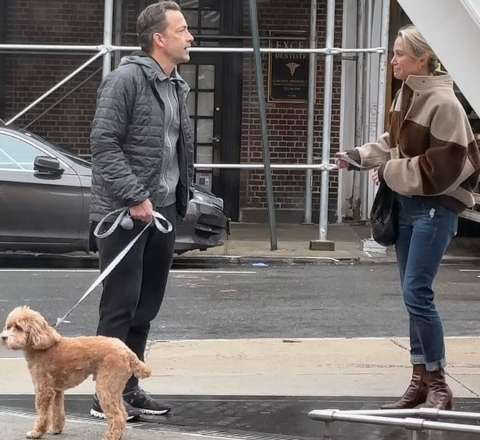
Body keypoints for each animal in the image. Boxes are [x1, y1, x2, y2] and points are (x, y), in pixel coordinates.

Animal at [0, 306, 151, 440]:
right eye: (8, 326)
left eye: (19, 327)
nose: (3, 337)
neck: (41, 345)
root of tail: (128, 352)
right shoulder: (57, 390)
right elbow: (57, 411)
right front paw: (56, 429)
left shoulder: (44, 390)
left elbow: (42, 414)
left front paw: (36, 433)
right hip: (114, 387)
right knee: (122, 413)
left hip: (106, 386)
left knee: (117, 415)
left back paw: (111, 436)